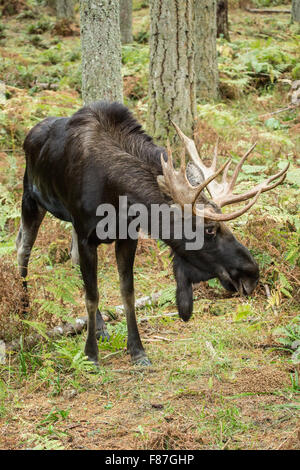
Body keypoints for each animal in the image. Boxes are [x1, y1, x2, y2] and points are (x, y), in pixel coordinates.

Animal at [17, 102, 290, 368]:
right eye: (210, 229)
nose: (252, 273)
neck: (116, 197)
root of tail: (29, 134)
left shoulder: (128, 236)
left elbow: (127, 292)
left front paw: (137, 351)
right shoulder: (86, 235)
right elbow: (92, 295)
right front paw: (91, 355)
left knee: (71, 258)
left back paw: (100, 327)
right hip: (31, 198)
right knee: (23, 249)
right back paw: (23, 313)